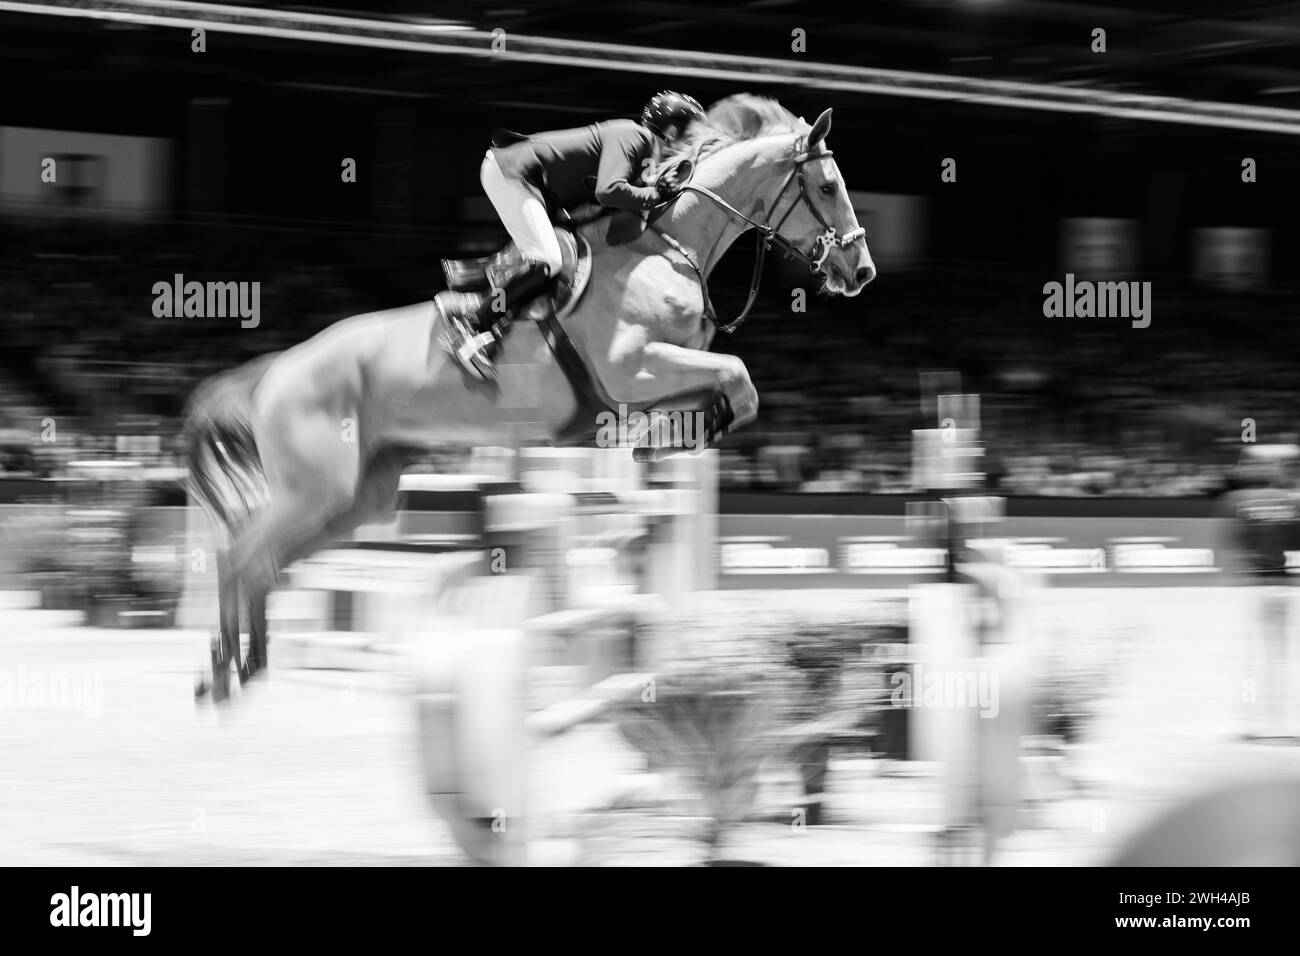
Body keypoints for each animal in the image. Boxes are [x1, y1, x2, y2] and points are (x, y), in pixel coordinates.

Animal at [185, 93, 873, 697]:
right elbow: (738, 377)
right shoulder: (633, 369)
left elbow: (720, 388)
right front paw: (662, 441)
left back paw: (248, 664)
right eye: (829, 188)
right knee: (238, 553)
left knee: (266, 559)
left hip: (358, 497)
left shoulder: (651, 380)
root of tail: (275, 370)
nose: (861, 272)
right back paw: (222, 671)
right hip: (314, 488)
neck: (668, 247)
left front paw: (660, 440)